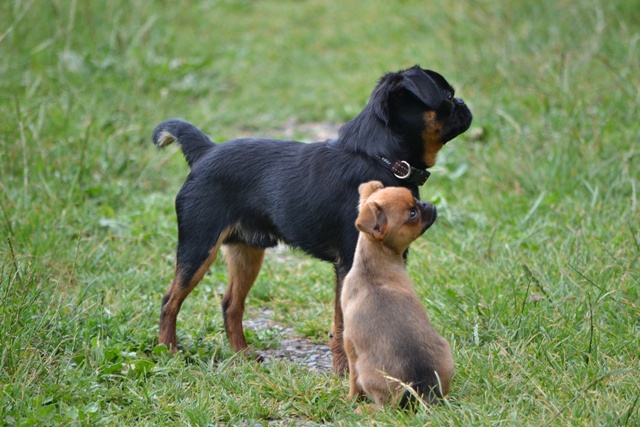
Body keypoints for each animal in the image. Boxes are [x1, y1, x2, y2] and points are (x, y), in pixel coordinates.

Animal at [150, 65, 470, 372]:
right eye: (448, 97)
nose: (464, 104)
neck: (380, 157)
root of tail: (206, 151)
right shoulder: (349, 264)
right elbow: (342, 322)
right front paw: (344, 370)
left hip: (246, 251)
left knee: (231, 304)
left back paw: (242, 356)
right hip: (198, 245)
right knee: (170, 300)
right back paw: (169, 352)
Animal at [342, 181, 452, 408]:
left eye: (415, 202)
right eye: (412, 213)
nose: (425, 203)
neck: (372, 268)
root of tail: (421, 385)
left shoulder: (348, 342)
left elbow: (353, 382)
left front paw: (351, 399)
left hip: (365, 371)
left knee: (383, 407)